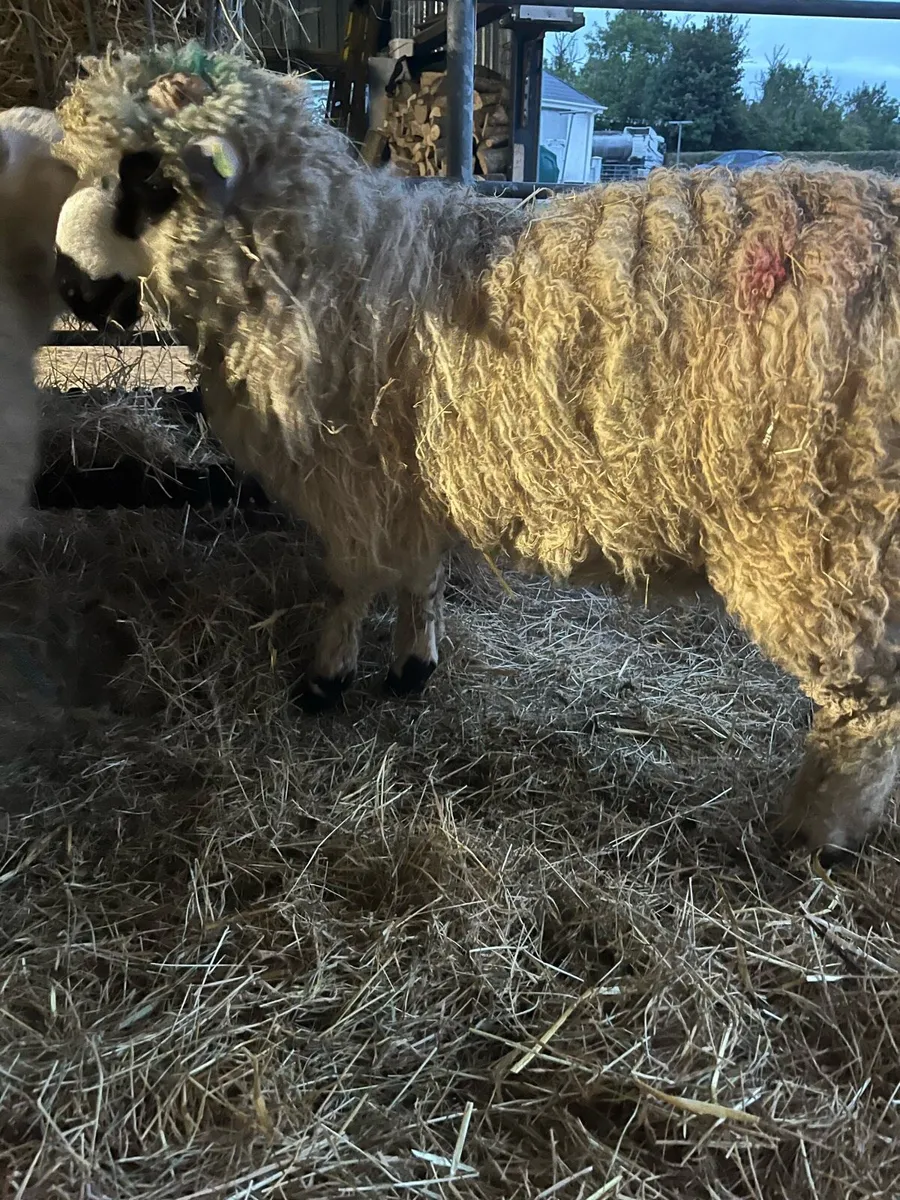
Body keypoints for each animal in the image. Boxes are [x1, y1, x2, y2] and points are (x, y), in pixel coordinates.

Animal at [51, 44, 900, 859]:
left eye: (149, 175)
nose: (73, 291)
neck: (329, 259)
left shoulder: (356, 479)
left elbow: (351, 582)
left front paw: (325, 680)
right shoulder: (414, 476)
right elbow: (420, 575)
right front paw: (412, 664)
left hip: (825, 536)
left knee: (867, 708)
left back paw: (817, 836)